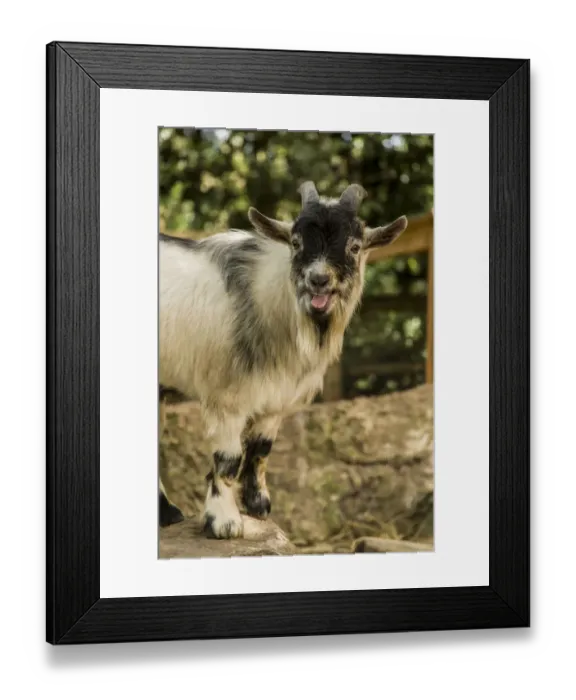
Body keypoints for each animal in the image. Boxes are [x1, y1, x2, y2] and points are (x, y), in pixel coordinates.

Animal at [158, 181, 408, 539]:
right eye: (296, 242)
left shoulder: (274, 400)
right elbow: (228, 458)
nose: (318, 279)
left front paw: (258, 506)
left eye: (355, 246)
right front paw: (224, 522)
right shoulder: (227, 398)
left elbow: (260, 451)